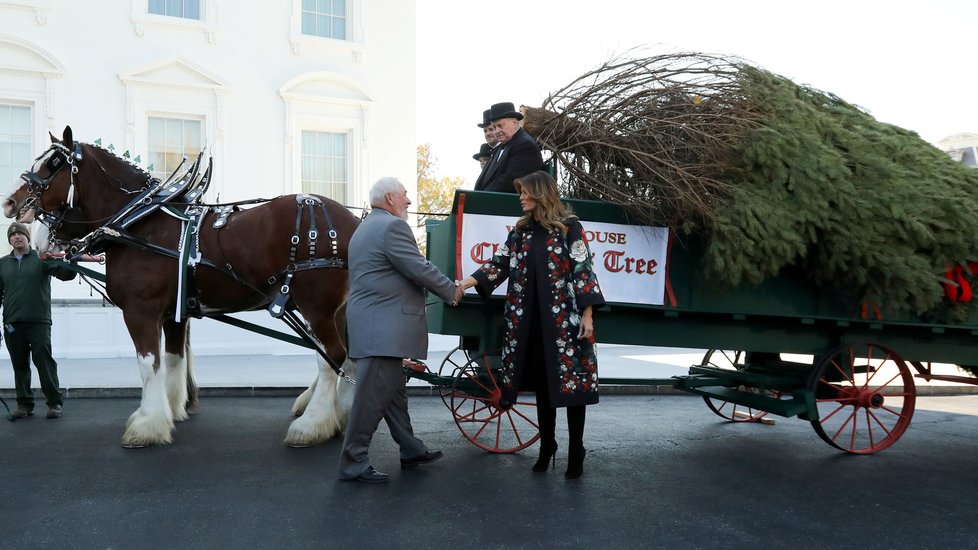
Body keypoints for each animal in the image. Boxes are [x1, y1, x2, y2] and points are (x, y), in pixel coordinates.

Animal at [0, 127, 358, 450]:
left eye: (54, 162)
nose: (9, 202)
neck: (139, 223)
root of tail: (353, 223)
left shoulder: (140, 310)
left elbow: (148, 364)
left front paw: (146, 425)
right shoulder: (174, 313)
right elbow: (171, 361)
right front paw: (170, 411)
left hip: (316, 308)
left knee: (332, 357)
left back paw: (312, 424)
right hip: (337, 310)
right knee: (349, 357)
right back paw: (342, 414)